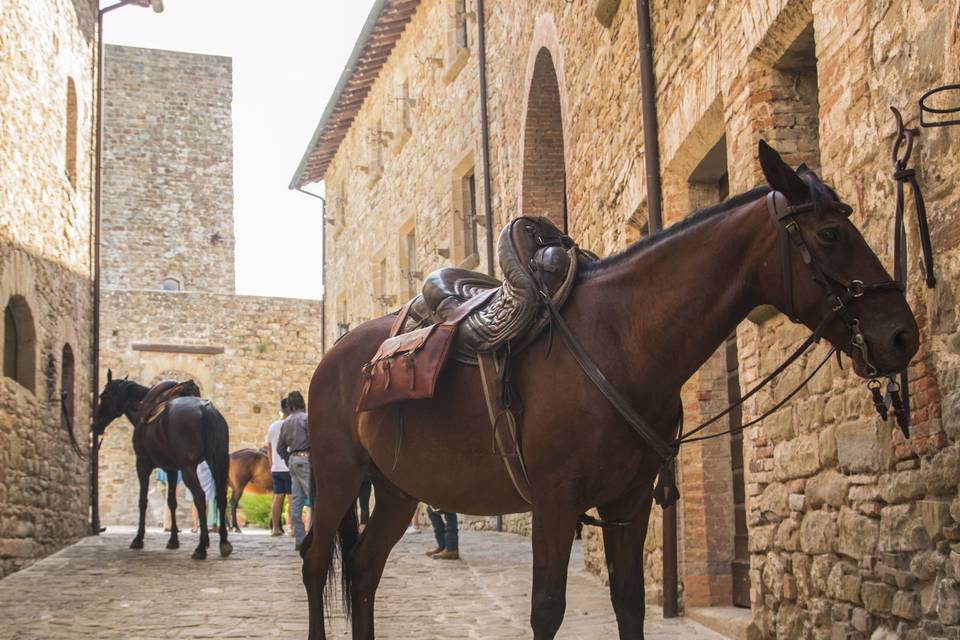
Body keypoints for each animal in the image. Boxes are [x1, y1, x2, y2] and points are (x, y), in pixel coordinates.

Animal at [93, 371, 233, 560]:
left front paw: (138, 538)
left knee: (199, 496)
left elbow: (142, 501)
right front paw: (173, 539)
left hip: (189, 468)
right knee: (221, 496)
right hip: (219, 460)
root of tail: (206, 410)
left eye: (104, 396)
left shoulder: (142, 463)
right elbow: (171, 502)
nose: (95, 424)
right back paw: (223, 542)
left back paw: (201, 546)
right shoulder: (171, 469)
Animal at [301, 142, 919, 639]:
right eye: (830, 233)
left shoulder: (630, 500)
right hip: (337, 478)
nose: (901, 334)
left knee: (363, 570)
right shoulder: (555, 501)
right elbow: (547, 610)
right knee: (315, 562)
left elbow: (629, 604)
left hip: (396, 489)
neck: (621, 341)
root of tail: (335, 355)